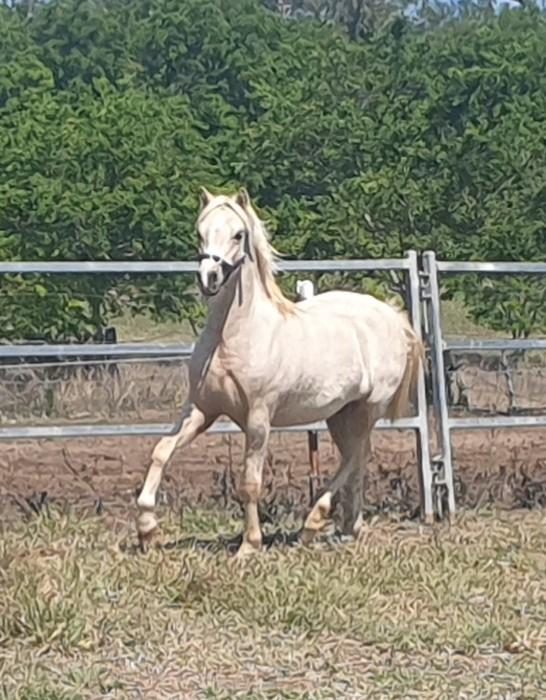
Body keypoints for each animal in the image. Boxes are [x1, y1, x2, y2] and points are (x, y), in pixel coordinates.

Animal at [136, 187, 423, 558]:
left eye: (238, 234)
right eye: (200, 232)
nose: (209, 278)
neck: (232, 338)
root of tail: (392, 316)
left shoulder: (259, 417)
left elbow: (250, 482)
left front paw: (249, 545)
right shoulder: (201, 410)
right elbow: (161, 451)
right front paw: (147, 532)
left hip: (368, 408)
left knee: (354, 456)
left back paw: (313, 524)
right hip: (340, 413)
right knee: (357, 458)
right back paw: (348, 527)